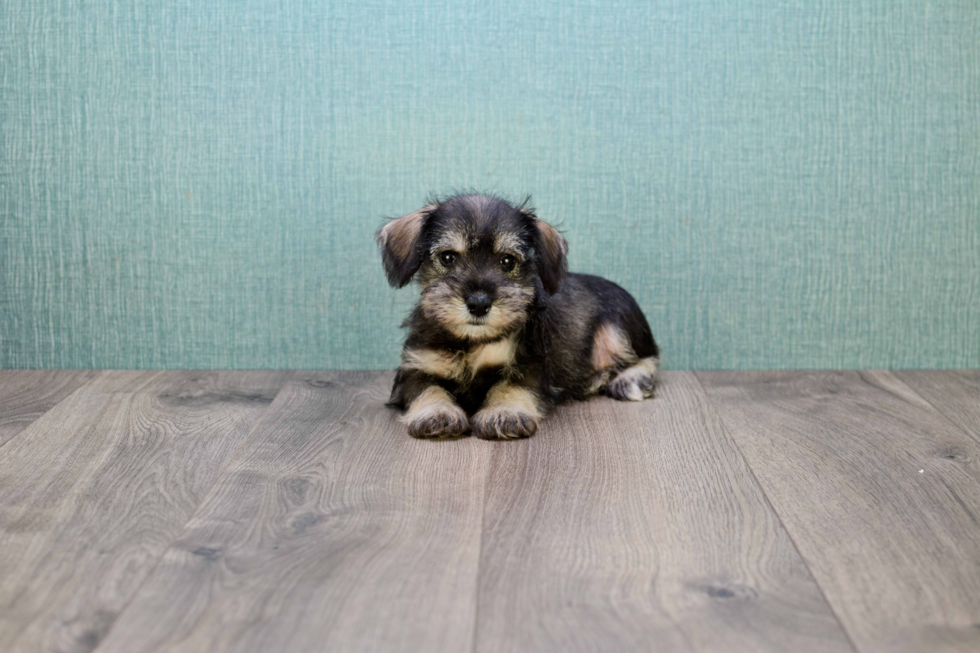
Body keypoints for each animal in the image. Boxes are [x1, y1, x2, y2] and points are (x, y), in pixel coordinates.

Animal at [376, 194, 660, 438]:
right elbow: (427, 388)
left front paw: (504, 413)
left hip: (618, 326)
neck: (471, 341)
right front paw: (437, 413)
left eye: (507, 261)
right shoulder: (415, 368)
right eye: (447, 257)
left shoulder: (528, 362)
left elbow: (510, 385)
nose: (479, 304)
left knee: (649, 357)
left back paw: (629, 380)